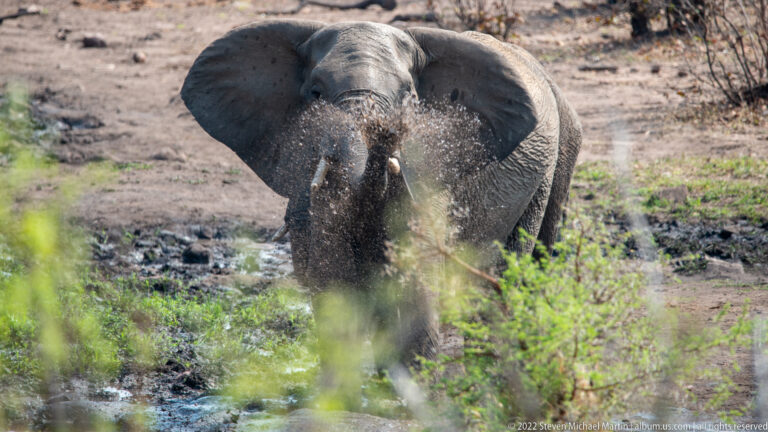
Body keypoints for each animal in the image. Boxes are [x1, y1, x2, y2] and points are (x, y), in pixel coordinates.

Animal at [181, 20, 582, 368]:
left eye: (408, 97)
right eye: (316, 93)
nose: (384, 131)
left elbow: (413, 297)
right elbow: (335, 294)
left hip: (558, 159)